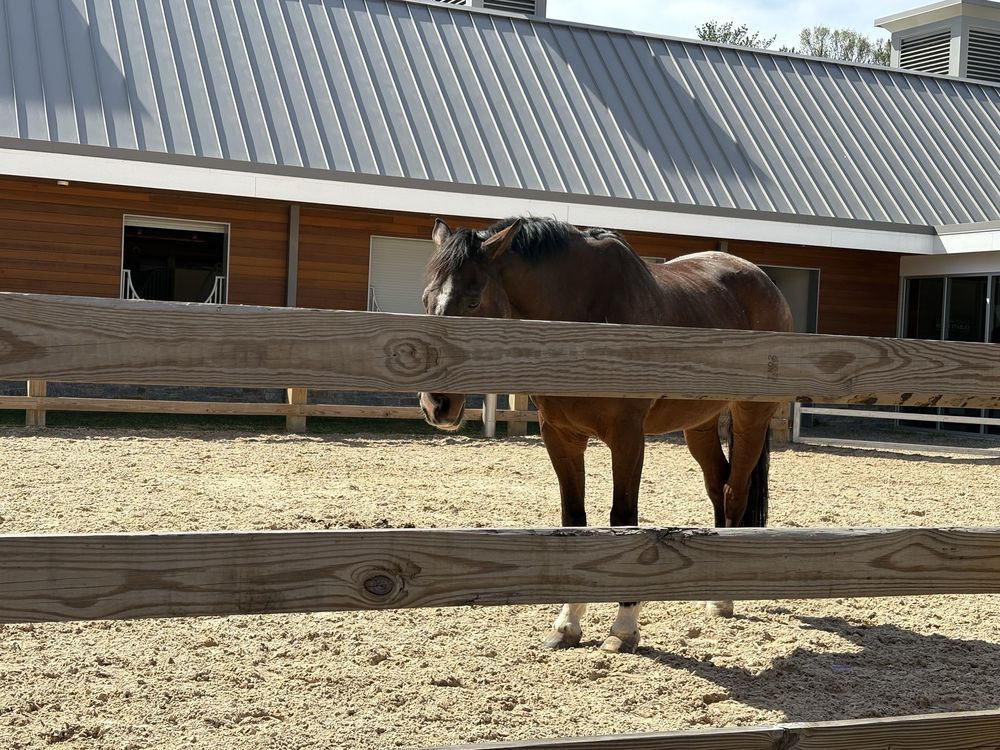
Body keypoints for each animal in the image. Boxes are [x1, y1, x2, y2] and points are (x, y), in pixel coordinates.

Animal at [419, 216, 793, 653]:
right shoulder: (560, 436)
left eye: (473, 302)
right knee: (718, 485)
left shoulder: (627, 436)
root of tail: (764, 281)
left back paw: (722, 598)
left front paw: (624, 626)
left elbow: (623, 518)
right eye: (426, 300)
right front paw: (567, 623)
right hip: (698, 424)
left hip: (751, 414)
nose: (437, 404)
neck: (586, 315)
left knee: (735, 491)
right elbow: (573, 521)